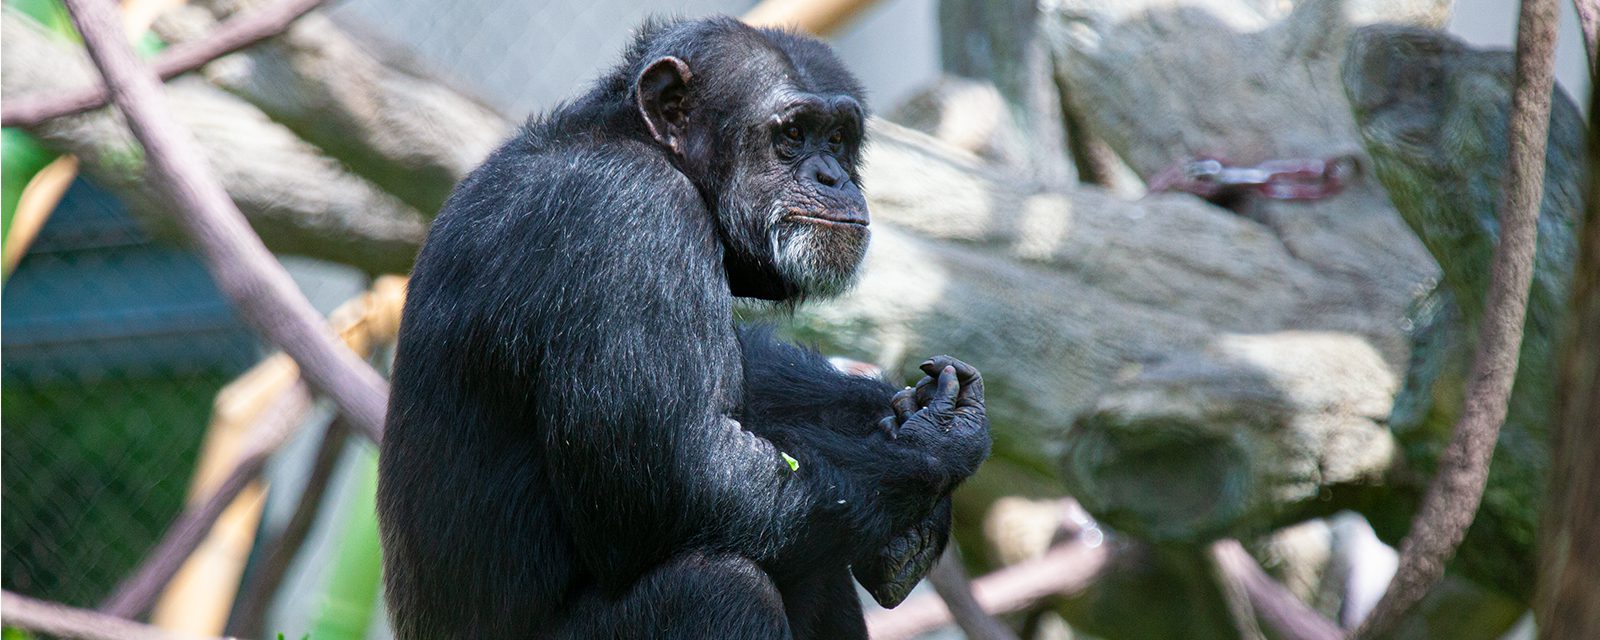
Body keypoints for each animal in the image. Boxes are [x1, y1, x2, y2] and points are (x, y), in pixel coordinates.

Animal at [377, 16, 985, 640]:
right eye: (793, 134)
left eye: (837, 137)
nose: (832, 175)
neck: (640, 144)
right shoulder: (635, 217)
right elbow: (682, 475)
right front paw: (936, 439)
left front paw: (896, 405)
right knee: (718, 584)